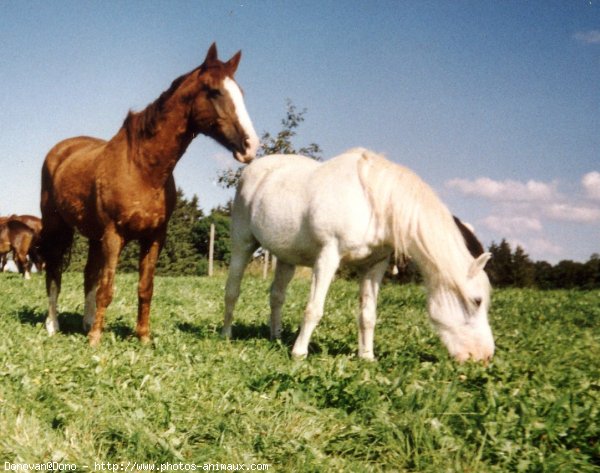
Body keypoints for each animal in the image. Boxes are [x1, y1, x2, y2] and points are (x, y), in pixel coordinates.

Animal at [40, 43, 258, 342]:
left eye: (241, 93)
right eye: (214, 91)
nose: (251, 146)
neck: (142, 168)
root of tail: (60, 150)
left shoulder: (154, 237)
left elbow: (145, 288)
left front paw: (143, 337)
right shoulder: (114, 235)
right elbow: (107, 288)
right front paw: (95, 340)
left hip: (94, 237)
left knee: (88, 275)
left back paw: (86, 323)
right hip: (57, 227)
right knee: (54, 273)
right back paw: (53, 325)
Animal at [223, 148, 494, 362]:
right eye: (477, 301)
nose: (484, 356)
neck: (373, 203)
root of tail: (253, 168)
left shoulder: (375, 266)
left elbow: (368, 315)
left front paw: (367, 356)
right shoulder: (328, 257)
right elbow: (314, 309)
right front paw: (299, 353)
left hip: (287, 258)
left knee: (277, 295)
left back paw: (276, 337)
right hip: (242, 243)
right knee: (233, 290)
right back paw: (226, 334)